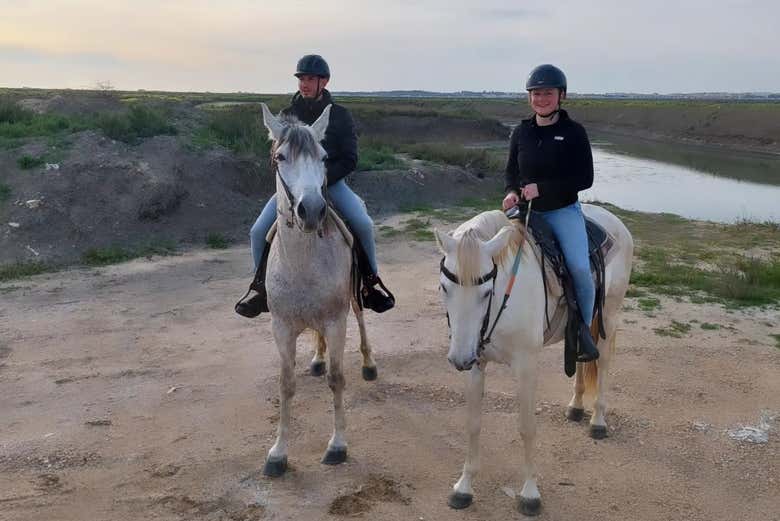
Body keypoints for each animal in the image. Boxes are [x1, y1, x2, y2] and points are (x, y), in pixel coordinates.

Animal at [258, 103, 377, 477]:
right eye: (280, 157)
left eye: (323, 157)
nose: (311, 210)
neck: (302, 263)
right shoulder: (281, 327)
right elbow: (286, 384)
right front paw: (278, 453)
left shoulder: (337, 321)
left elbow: (337, 379)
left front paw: (337, 445)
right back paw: (318, 358)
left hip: (353, 299)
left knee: (362, 320)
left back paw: (369, 363)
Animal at [434, 205, 633, 515]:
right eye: (444, 287)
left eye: (486, 292)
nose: (459, 358)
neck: (506, 297)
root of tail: (614, 220)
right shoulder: (476, 365)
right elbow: (473, 424)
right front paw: (463, 487)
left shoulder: (526, 367)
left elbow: (527, 427)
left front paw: (530, 493)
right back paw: (576, 406)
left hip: (609, 316)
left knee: (604, 365)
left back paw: (598, 421)